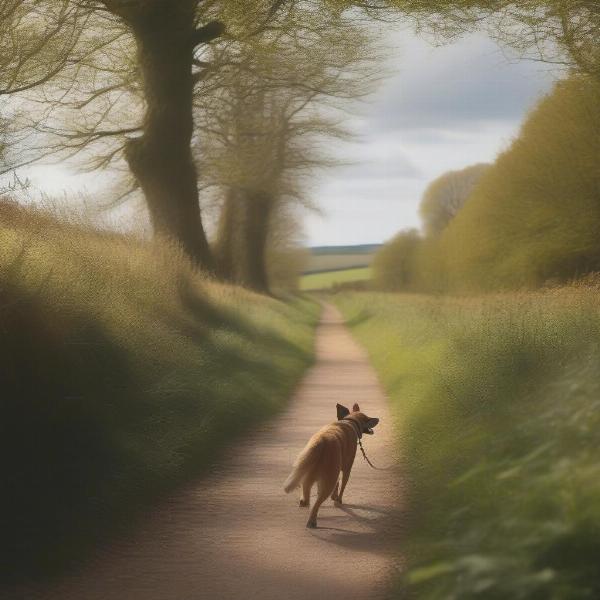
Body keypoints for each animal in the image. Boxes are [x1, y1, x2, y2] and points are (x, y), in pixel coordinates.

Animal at [282, 400, 378, 528]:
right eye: (368, 419)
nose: (378, 419)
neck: (350, 421)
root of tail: (321, 442)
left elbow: (337, 484)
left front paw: (335, 497)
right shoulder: (346, 469)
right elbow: (342, 485)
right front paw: (338, 500)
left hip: (308, 474)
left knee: (307, 497)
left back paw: (306, 505)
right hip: (328, 480)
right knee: (317, 502)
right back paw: (312, 521)